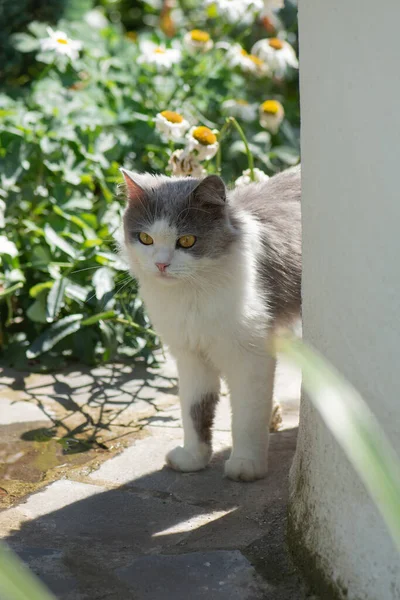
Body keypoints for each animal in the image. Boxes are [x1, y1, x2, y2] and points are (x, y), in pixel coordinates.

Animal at [120, 165, 302, 482]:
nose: (161, 265)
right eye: (145, 238)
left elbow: (246, 416)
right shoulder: (190, 355)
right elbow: (195, 410)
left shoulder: (251, 357)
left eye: (186, 241)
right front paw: (193, 458)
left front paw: (246, 464)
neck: (192, 296)